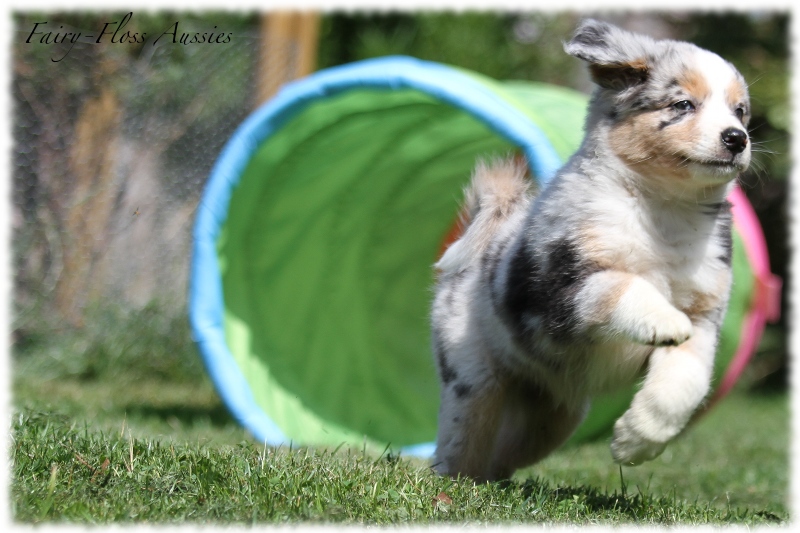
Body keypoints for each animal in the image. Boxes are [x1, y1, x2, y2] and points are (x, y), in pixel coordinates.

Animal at [432, 18, 752, 480]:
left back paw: (497, 481)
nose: (737, 139)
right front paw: (663, 318)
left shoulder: (705, 317)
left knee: (508, 450)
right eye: (683, 104)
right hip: (473, 376)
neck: (664, 208)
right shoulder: (561, 285)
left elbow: (683, 385)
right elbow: (622, 286)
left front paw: (634, 443)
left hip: (553, 417)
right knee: (462, 441)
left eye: (740, 111)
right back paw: (451, 480)